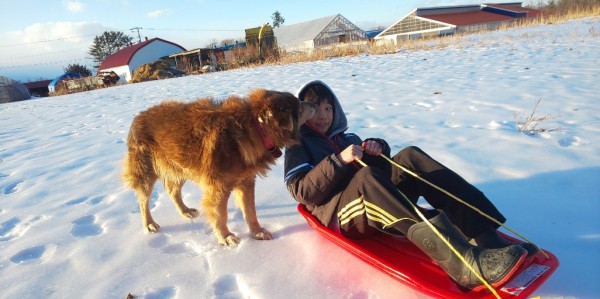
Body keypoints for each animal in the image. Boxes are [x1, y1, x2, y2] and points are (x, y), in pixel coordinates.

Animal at [124, 89, 316, 246]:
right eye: (298, 107)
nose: (313, 103)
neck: (252, 129)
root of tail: (136, 118)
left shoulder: (246, 182)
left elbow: (250, 211)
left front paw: (257, 232)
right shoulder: (218, 188)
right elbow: (220, 215)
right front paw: (225, 237)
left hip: (180, 169)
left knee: (173, 192)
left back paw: (185, 211)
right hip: (147, 173)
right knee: (143, 201)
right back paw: (149, 223)